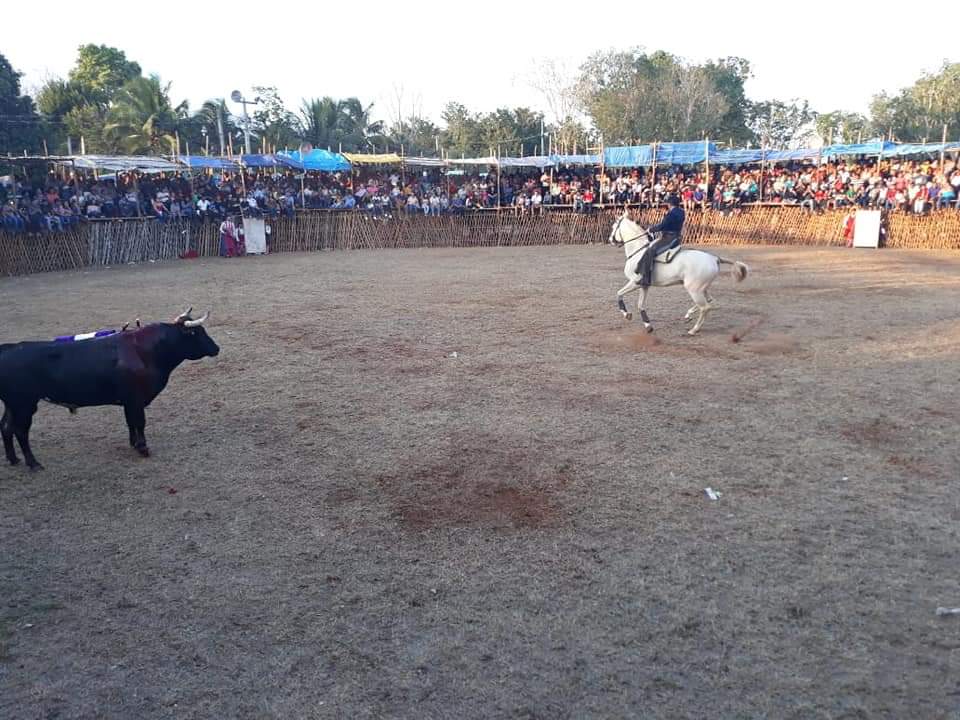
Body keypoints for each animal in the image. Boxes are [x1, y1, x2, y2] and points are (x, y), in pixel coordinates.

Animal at [0, 320, 219, 466]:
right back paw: (32, 463)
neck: (144, 351)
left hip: (13, 405)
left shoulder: (129, 401)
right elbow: (140, 422)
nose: (216, 348)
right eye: (196, 333)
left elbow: (131, 422)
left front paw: (134, 444)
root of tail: (8, 349)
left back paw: (14, 459)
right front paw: (143, 448)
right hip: (24, 404)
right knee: (20, 431)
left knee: (6, 427)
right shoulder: (136, 399)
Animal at [608, 211, 752, 334]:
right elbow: (640, 305)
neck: (638, 250)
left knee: (705, 307)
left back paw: (694, 329)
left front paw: (627, 315)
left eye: (614, 226)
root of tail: (714, 258)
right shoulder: (644, 285)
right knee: (709, 300)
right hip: (702, 288)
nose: (610, 240)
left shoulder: (635, 282)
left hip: (693, 289)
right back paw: (688, 315)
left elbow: (619, 294)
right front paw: (648, 325)